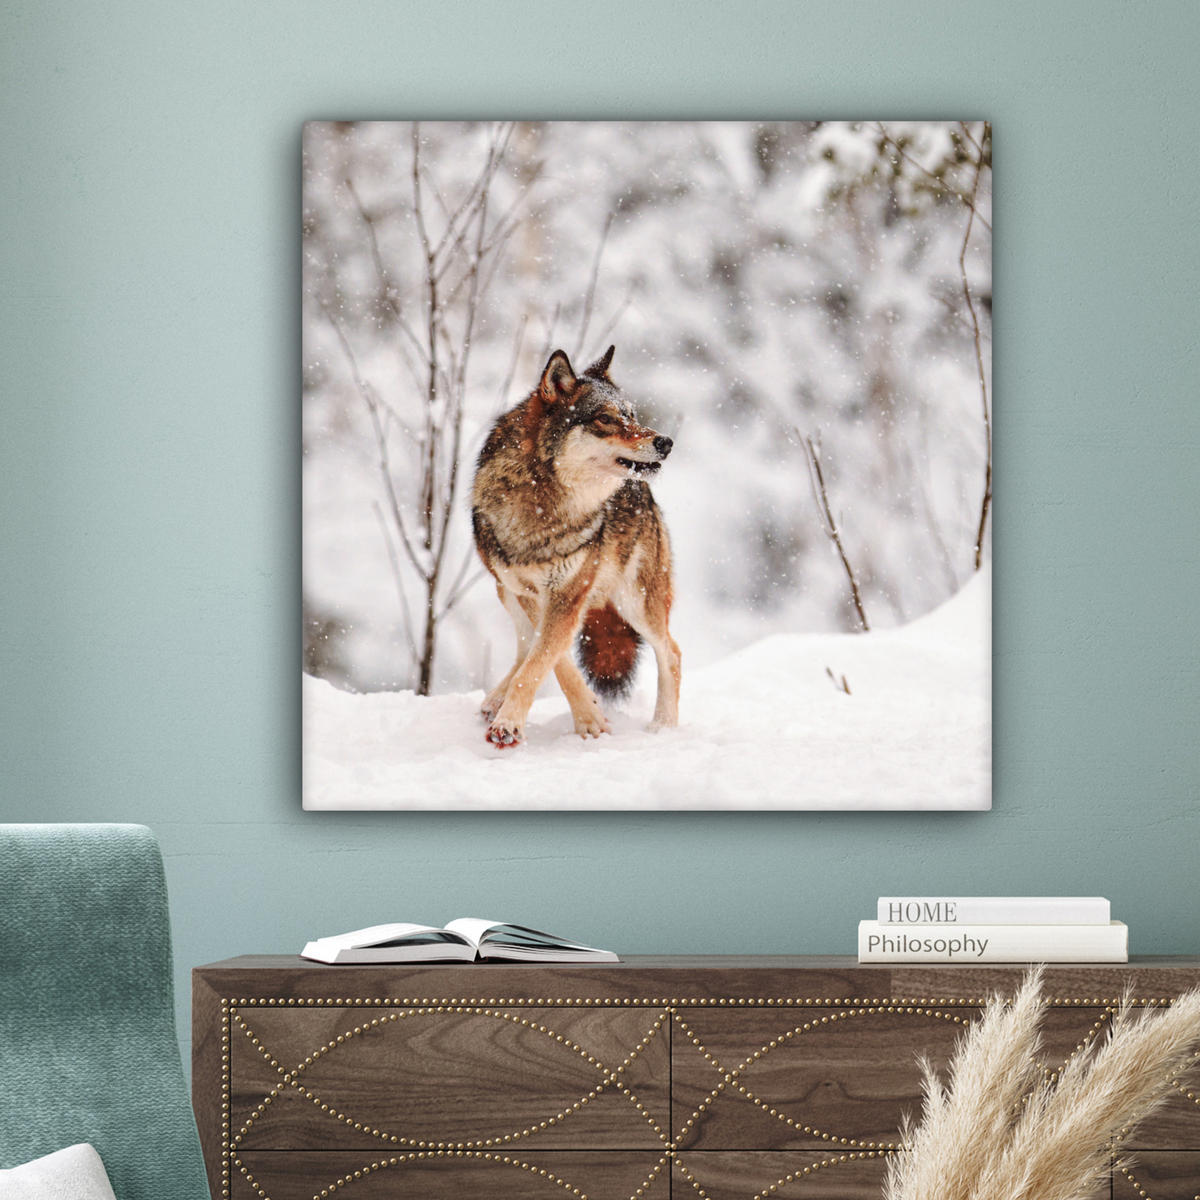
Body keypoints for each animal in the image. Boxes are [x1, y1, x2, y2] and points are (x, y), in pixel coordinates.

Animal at [471, 345, 680, 748]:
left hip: (635, 602)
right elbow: (551, 659)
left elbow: (542, 660)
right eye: (605, 419)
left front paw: (513, 724)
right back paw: (494, 700)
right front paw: (589, 715)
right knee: (524, 646)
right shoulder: (531, 593)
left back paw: (664, 727)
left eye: (632, 415)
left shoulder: (567, 593)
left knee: (672, 653)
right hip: (505, 591)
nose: (665, 442)